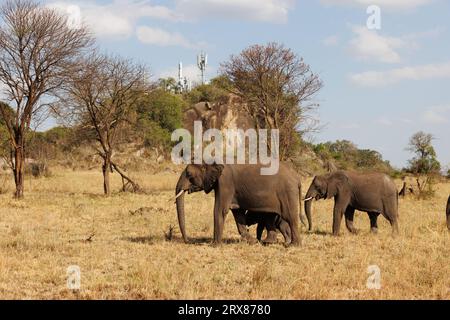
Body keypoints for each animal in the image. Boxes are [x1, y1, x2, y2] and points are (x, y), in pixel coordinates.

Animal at [173, 162, 306, 245]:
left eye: (189, 174)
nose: (189, 241)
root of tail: (297, 178)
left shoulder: (225, 183)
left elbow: (220, 210)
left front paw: (215, 245)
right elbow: (238, 213)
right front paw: (252, 242)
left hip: (287, 193)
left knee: (290, 217)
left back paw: (293, 245)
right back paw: (268, 242)